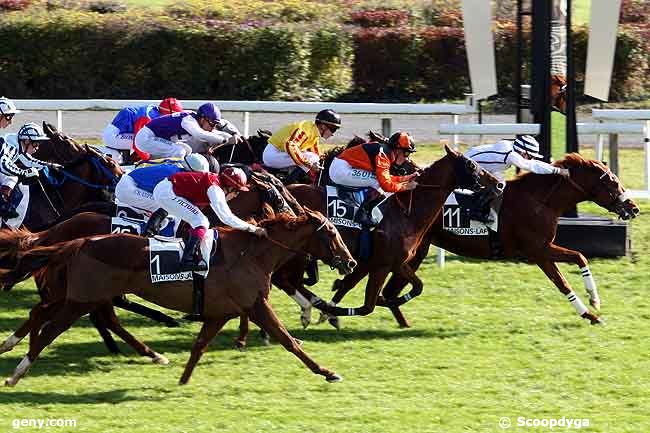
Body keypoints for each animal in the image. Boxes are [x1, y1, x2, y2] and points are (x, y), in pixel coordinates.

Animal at [1, 209, 354, 384]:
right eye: (332, 233)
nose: (349, 261)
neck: (251, 253)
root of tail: (80, 241)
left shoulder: (221, 311)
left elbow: (200, 345)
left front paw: (183, 379)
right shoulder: (255, 304)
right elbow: (287, 340)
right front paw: (327, 372)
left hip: (76, 295)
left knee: (43, 313)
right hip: (81, 300)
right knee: (50, 329)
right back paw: (18, 372)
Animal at [368, 154, 640, 326]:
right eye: (613, 182)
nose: (633, 208)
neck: (540, 200)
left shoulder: (542, 249)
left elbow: (580, 257)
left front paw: (594, 300)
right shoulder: (538, 251)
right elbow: (565, 278)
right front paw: (590, 312)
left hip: (416, 251)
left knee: (391, 290)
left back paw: (401, 321)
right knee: (390, 288)